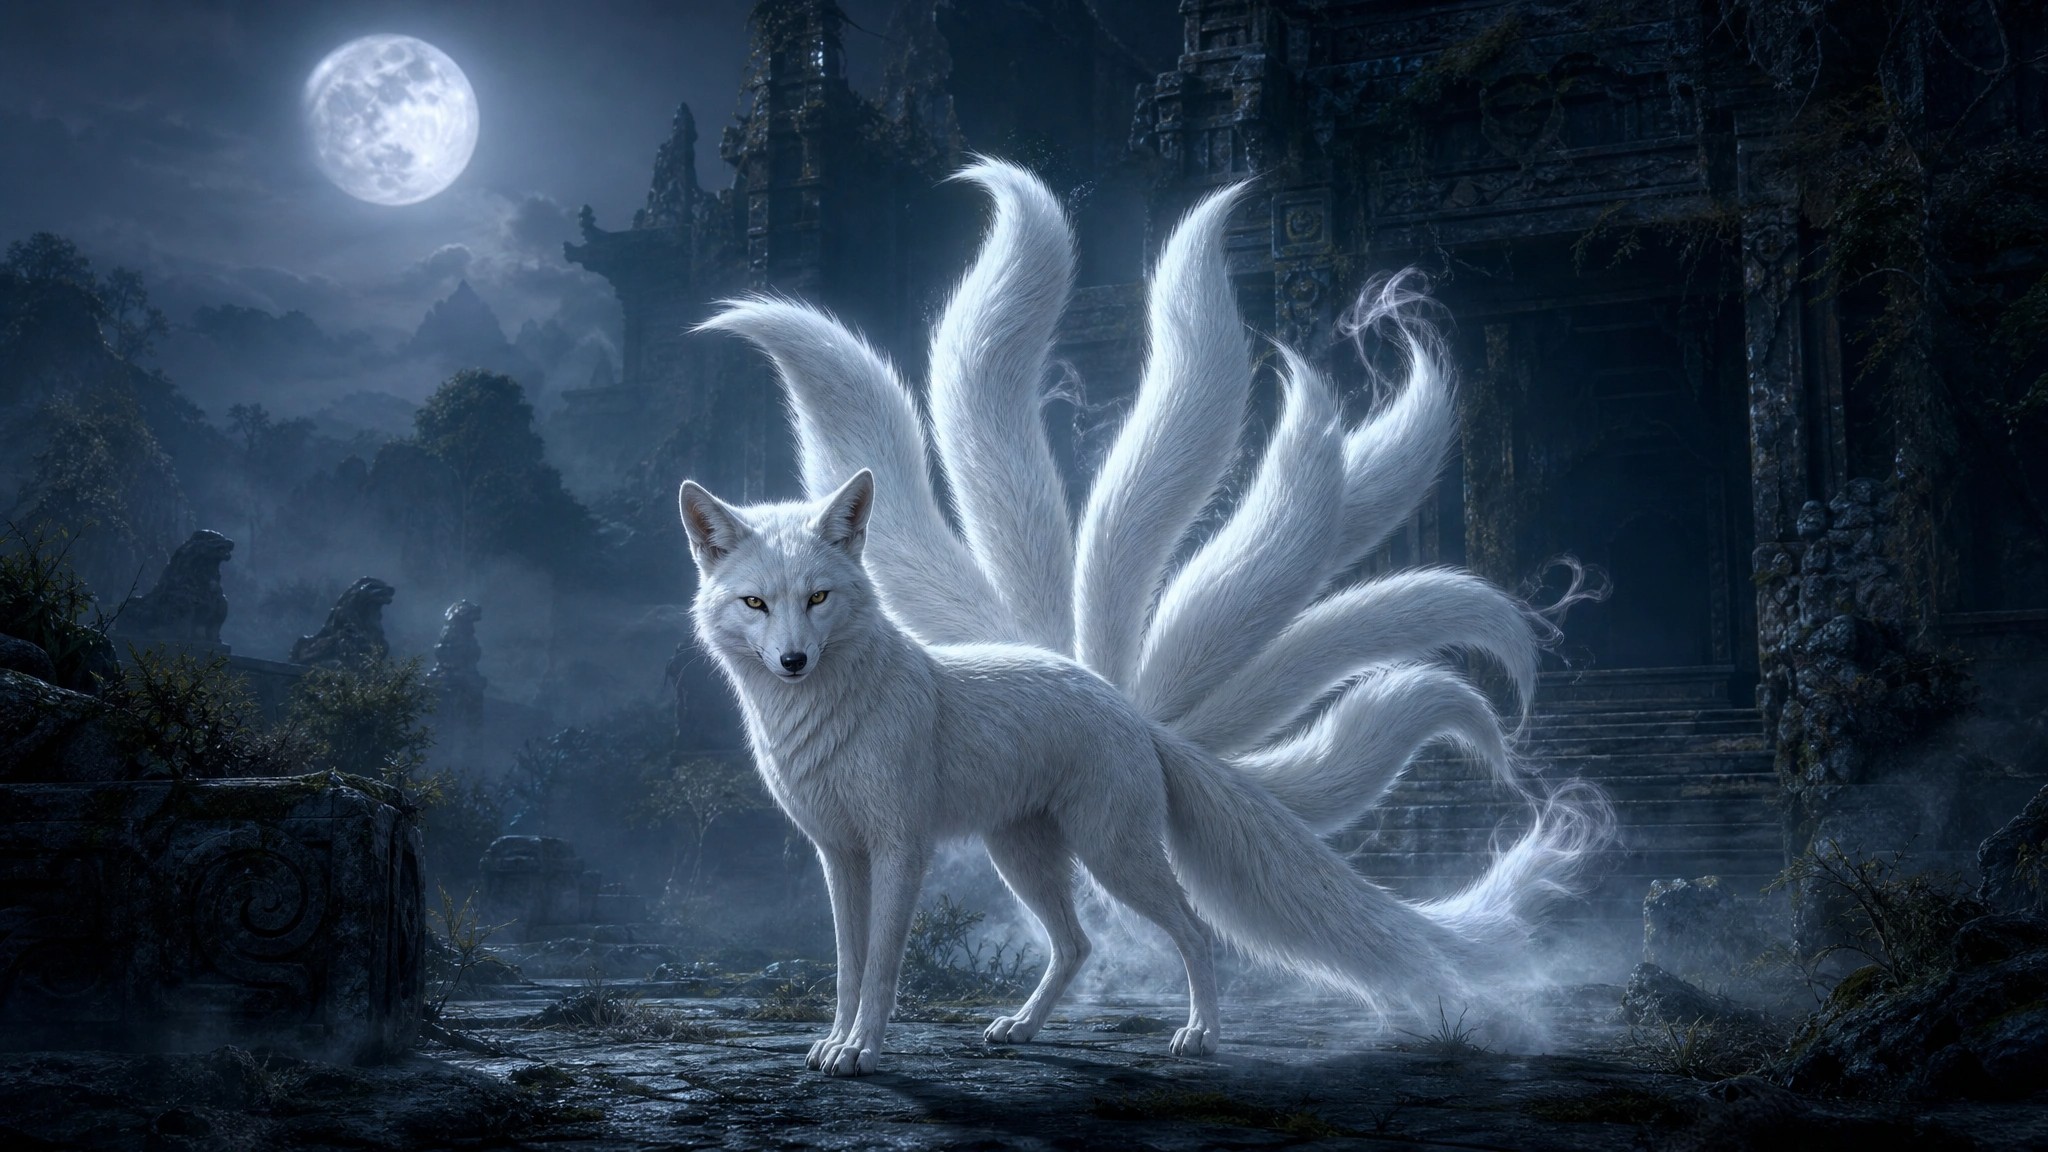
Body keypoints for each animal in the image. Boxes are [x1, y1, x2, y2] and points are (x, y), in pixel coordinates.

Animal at [682, 161, 1608, 1077]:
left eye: (819, 598)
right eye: (756, 603)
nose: (793, 661)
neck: (819, 720)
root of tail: (1128, 705)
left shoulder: (899, 847)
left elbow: (880, 962)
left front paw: (863, 1050)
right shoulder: (839, 853)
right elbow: (844, 960)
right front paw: (834, 1043)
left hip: (1109, 852)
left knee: (1192, 931)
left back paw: (1199, 1037)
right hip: (1023, 853)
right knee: (1078, 944)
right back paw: (1022, 1029)